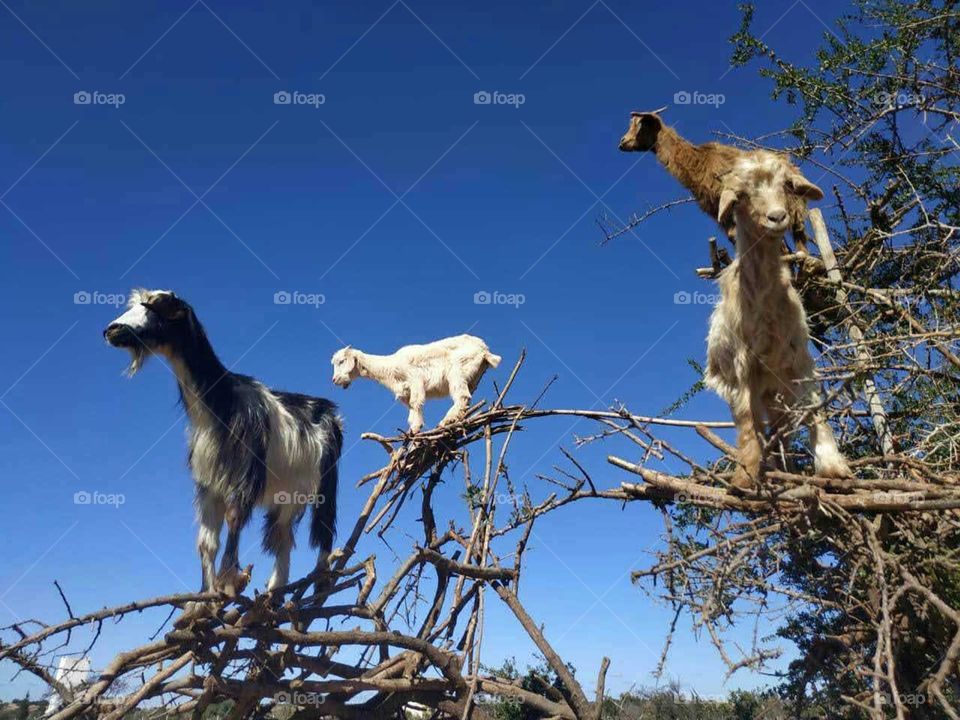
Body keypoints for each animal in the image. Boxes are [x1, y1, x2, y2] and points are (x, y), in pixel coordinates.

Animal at [104, 290, 344, 592]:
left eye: (158, 306)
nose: (112, 330)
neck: (221, 405)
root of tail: (330, 412)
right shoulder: (208, 483)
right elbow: (206, 542)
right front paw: (205, 594)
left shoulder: (246, 474)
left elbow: (234, 517)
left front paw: (228, 578)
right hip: (288, 491)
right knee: (282, 536)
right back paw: (275, 590)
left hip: (324, 481)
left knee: (323, 526)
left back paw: (321, 578)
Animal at [332, 334, 502, 434]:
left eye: (341, 361)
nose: (335, 380)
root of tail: (484, 349)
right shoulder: (406, 391)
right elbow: (412, 409)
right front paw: (414, 429)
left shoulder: (416, 380)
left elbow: (416, 402)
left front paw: (415, 428)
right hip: (472, 378)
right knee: (466, 398)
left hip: (456, 370)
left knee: (462, 396)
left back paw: (446, 421)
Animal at [700, 152, 852, 490]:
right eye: (742, 195)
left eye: (786, 185)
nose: (777, 217)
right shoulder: (741, 367)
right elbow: (747, 423)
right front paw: (744, 477)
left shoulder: (799, 360)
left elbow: (815, 409)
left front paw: (833, 468)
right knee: (756, 423)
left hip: (777, 392)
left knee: (781, 430)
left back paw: (787, 469)